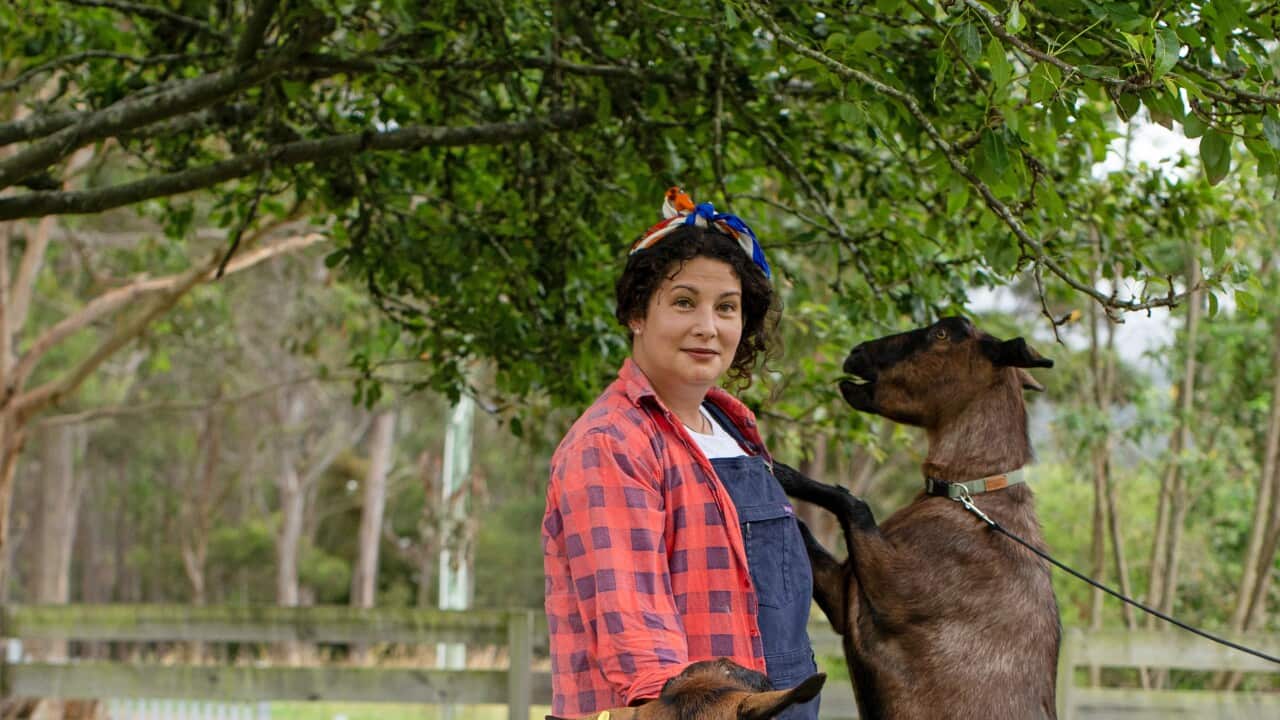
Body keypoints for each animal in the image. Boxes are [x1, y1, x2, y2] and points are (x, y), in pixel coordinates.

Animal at [774, 316, 1060, 720]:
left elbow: (852, 502)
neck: (970, 499)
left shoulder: (893, 592)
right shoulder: (844, 593)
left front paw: (782, 471)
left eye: (943, 333)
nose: (856, 353)